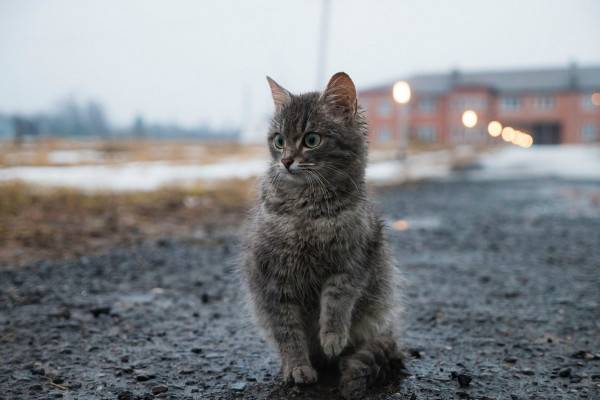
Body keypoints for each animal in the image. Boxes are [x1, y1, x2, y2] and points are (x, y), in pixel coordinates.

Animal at [240, 72, 404, 400]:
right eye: (279, 141)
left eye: (311, 140)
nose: (286, 161)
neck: (307, 211)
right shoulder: (274, 279)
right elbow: (288, 332)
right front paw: (297, 368)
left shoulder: (351, 264)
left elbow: (336, 304)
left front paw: (332, 338)